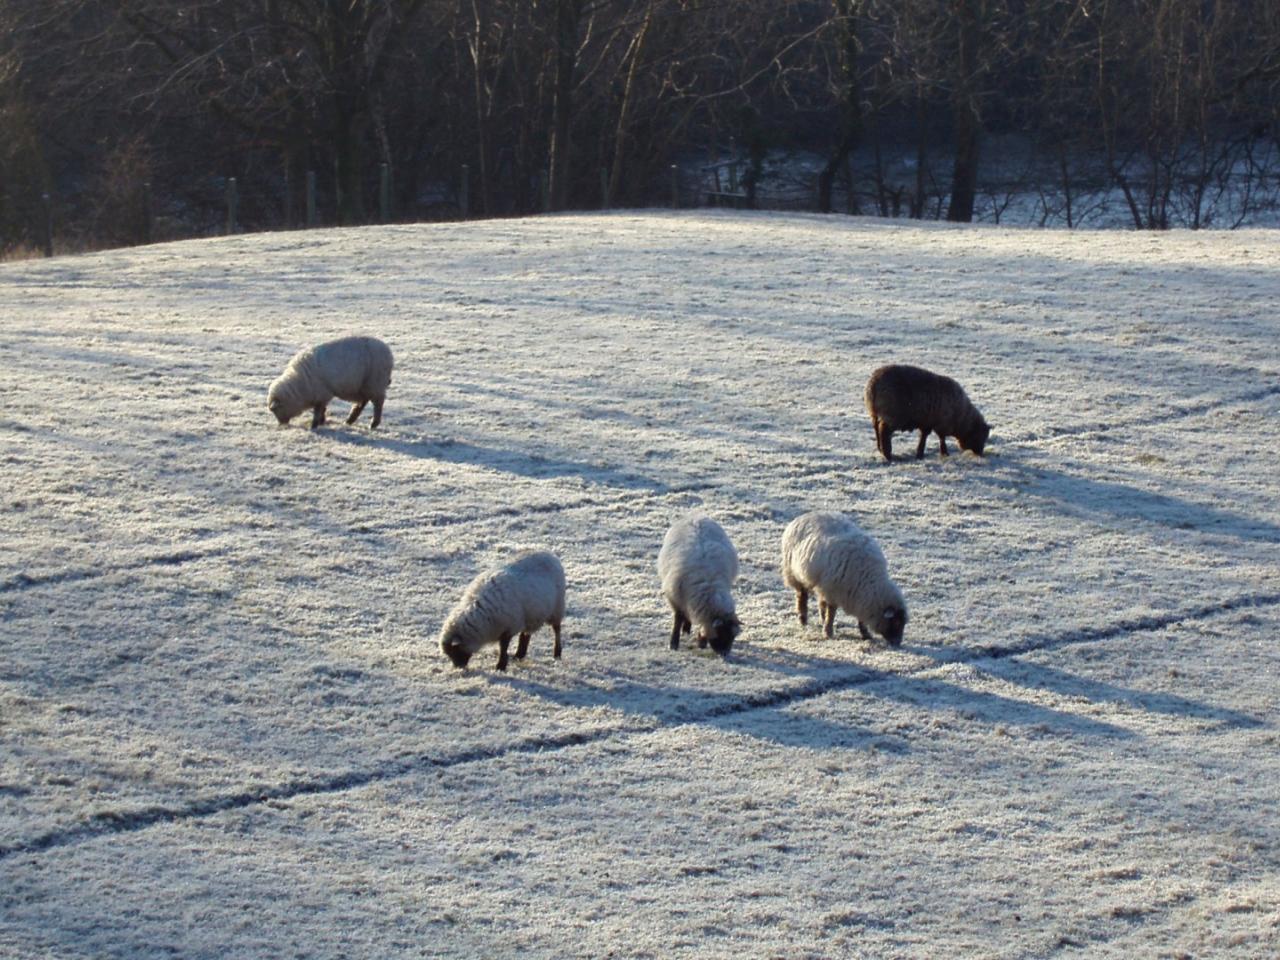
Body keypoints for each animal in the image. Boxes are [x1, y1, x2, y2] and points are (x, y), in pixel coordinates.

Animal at [266, 335, 394, 430]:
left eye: (276, 410)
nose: (281, 425)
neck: (299, 384)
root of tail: (388, 352)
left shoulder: (321, 394)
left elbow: (318, 411)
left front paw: (314, 425)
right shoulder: (322, 395)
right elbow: (322, 409)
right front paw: (321, 422)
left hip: (375, 383)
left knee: (378, 404)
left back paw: (373, 424)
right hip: (363, 387)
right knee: (361, 403)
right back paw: (349, 421)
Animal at [660, 514, 742, 660]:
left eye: (732, 637)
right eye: (720, 634)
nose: (725, 655)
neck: (709, 587)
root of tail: (696, 516)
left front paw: (701, 641)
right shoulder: (675, 598)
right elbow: (678, 619)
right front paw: (673, 643)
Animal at [778, 512, 911, 647]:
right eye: (896, 622)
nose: (897, 643)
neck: (869, 581)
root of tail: (802, 516)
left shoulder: (858, 598)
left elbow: (860, 619)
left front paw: (866, 635)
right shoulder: (833, 591)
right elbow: (831, 613)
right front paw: (828, 632)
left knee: (820, 601)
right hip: (794, 573)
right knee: (802, 596)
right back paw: (803, 619)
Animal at [860, 363, 988, 463]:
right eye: (980, 435)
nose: (981, 454)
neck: (962, 417)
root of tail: (873, 385)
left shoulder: (927, 422)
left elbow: (924, 436)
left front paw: (920, 453)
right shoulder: (942, 423)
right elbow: (941, 438)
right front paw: (944, 453)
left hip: (874, 413)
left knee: (876, 428)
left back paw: (880, 449)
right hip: (892, 415)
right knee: (884, 431)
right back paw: (888, 455)